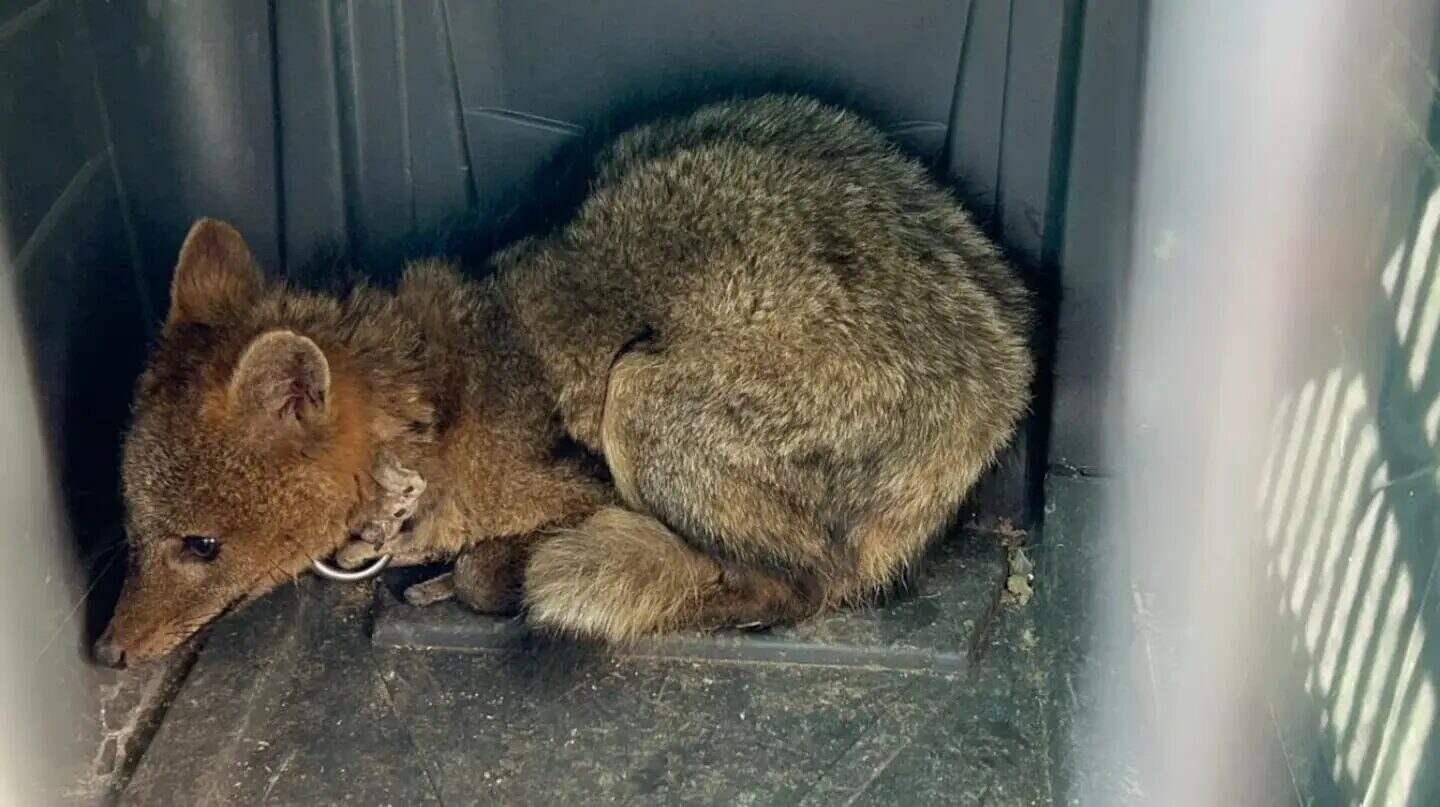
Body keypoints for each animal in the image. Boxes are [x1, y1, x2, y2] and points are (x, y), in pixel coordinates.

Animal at [93, 95, 1035, 667]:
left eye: (201, 546)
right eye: (132, 531)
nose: (106, 650)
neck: (433, 420)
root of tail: (1007, 377)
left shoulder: (576, 483)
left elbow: (489, 564)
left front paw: (478, 574)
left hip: (641, 401)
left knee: (795, 586)